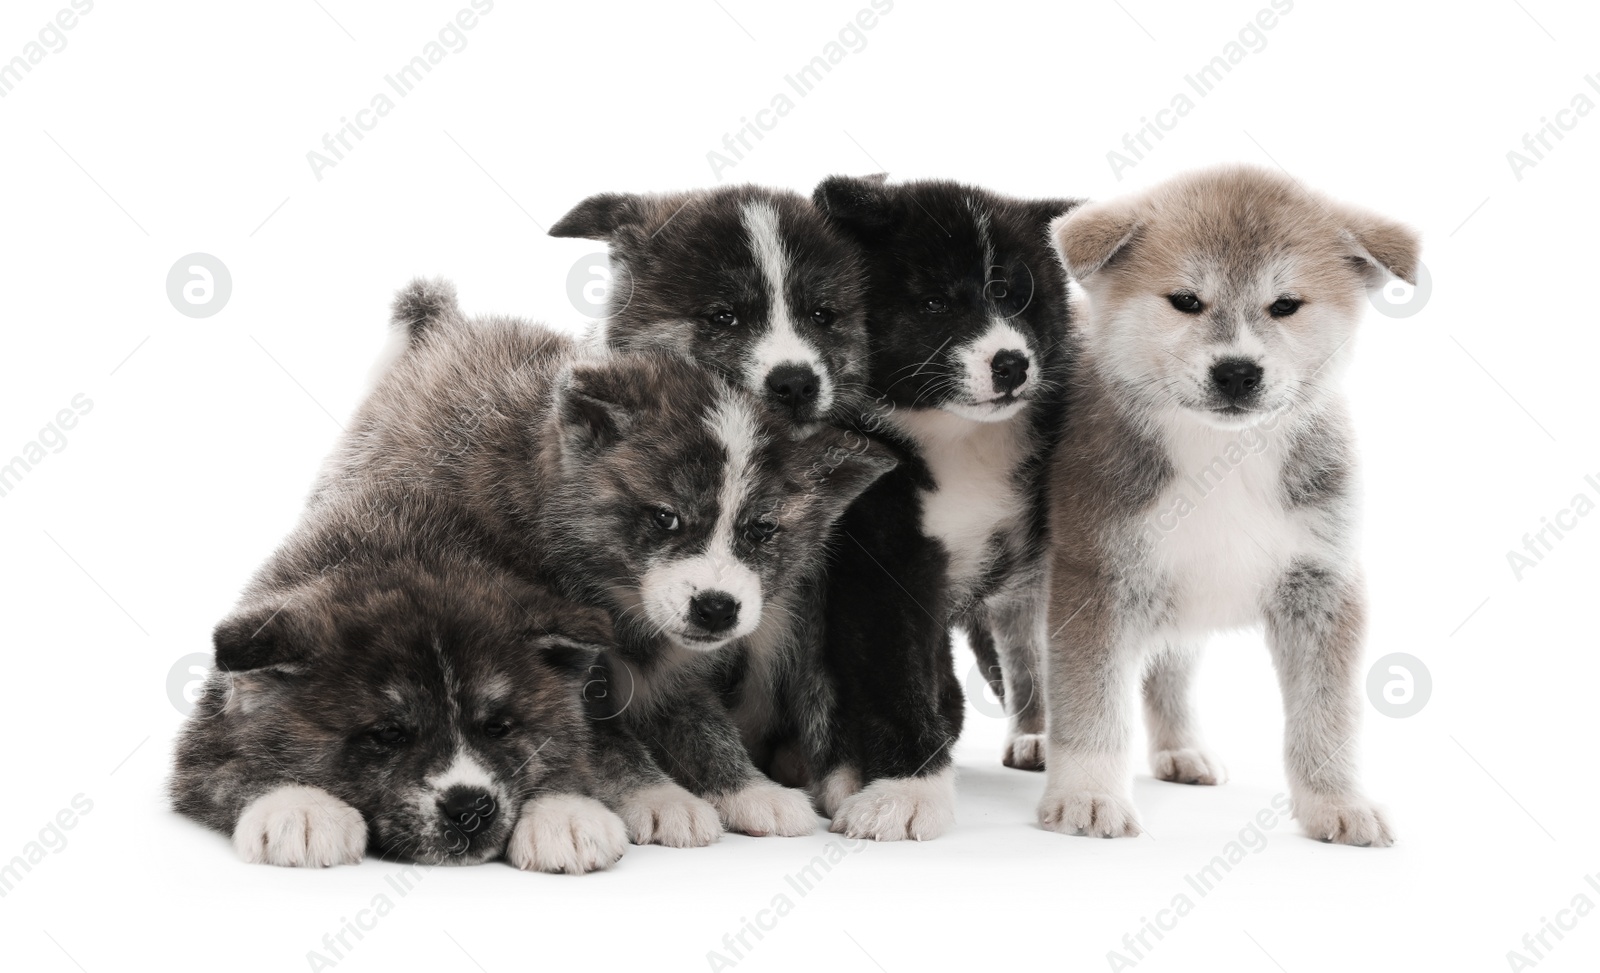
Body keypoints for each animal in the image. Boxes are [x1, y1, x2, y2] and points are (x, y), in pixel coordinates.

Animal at [806, 178, 1081, 838]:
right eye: (934, 304)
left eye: (1019, 299)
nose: (1011, 364)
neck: (958, 438)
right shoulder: (879, 559)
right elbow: (896, 675)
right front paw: (906, 791)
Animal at [1036, 165, 1427, 844]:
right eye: (1186, 301)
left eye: (1286, 305)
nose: (1238, 372)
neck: (1226, 456)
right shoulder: (1096, 579)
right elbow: (1091, 705)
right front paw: (1087, 793)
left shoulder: (1323, 581)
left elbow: (1327, 716)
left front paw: (1337, 801)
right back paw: (1030, 739)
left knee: (1170, 670)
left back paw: (1182, 749)